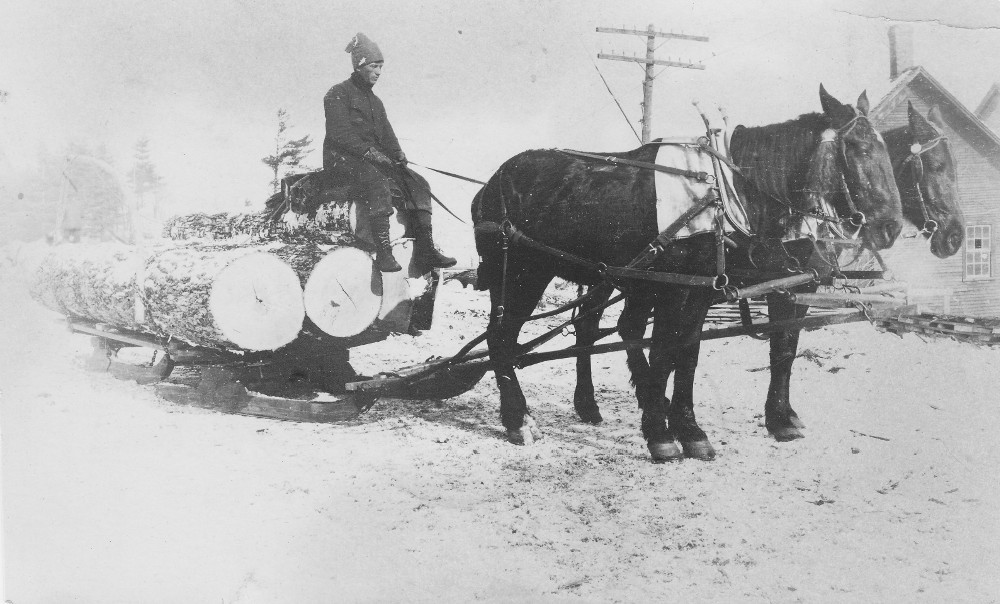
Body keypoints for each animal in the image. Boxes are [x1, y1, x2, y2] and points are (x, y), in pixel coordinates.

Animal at [472, 86, 904, 462]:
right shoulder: (675, 290)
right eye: (858, 148)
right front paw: (661, 434)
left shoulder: (709, 290)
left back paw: (587, 405)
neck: (727, 193)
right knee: (501, 339)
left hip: (602, 276)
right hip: (522, 276)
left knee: (587, 328)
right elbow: (665, 353)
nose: (892, 226)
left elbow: (698, 355)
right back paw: (518, 419)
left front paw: (691, 429)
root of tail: (491, 185)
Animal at [572, 101, 968, 446]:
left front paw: (784, 415)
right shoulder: (772, 288)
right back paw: (603, 403)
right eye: (936, 166)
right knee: (604, 327)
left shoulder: (801, 286)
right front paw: (775, 420)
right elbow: (765, 348)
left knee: (611, 327)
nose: (955, 236)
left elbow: (786, 348)